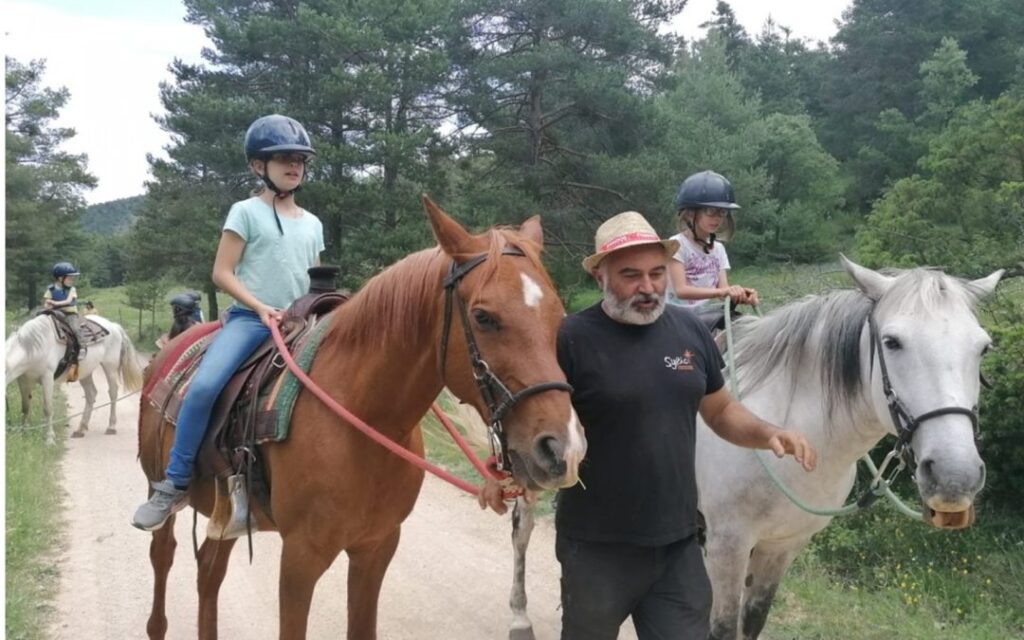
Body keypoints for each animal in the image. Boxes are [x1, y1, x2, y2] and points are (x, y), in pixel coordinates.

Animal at [4, 311, 144, 442]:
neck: (33, 347)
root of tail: (114, 326)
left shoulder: (47, 378)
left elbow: (48, 408)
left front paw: (49, 438)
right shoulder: (23, 380)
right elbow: (25, 407)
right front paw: (23, 433)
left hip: (110, 368)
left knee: (113, 393)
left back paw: (111, 427)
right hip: (85, 372)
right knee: (91, 394)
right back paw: (81, 429)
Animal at [138, 195, 585, 638]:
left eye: (557, 314)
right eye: (484, 317)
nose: (563, 448)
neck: (363, 420)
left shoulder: (376, 548)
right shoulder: (300, 557)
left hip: (226, 514)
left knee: (209, 572)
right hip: (160, 490)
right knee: (164, 556)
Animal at [499, 254, 1003, 638]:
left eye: (983, 347)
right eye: (892, 342)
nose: (955, 476)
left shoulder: (783, 546)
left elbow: (752, 621)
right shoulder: (729, 542)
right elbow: (721, 626)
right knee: (523, 530)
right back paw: (520, 616)